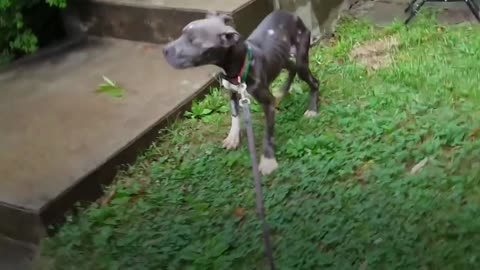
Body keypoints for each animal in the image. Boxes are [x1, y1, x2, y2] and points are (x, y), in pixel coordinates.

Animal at [163, 10, 320, 175]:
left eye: (193, 41)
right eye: (182, 34)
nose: (164, 50)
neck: (239, 68)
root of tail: (293, 15)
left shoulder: (267, 103)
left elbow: (268, 135)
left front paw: (268, 160)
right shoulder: (232, 92)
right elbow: (234, 115)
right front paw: (233, 137)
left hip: (301, 59)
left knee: (313, 81)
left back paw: (312, 109)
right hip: (282, 58)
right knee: (291, 68)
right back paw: (282, 91)